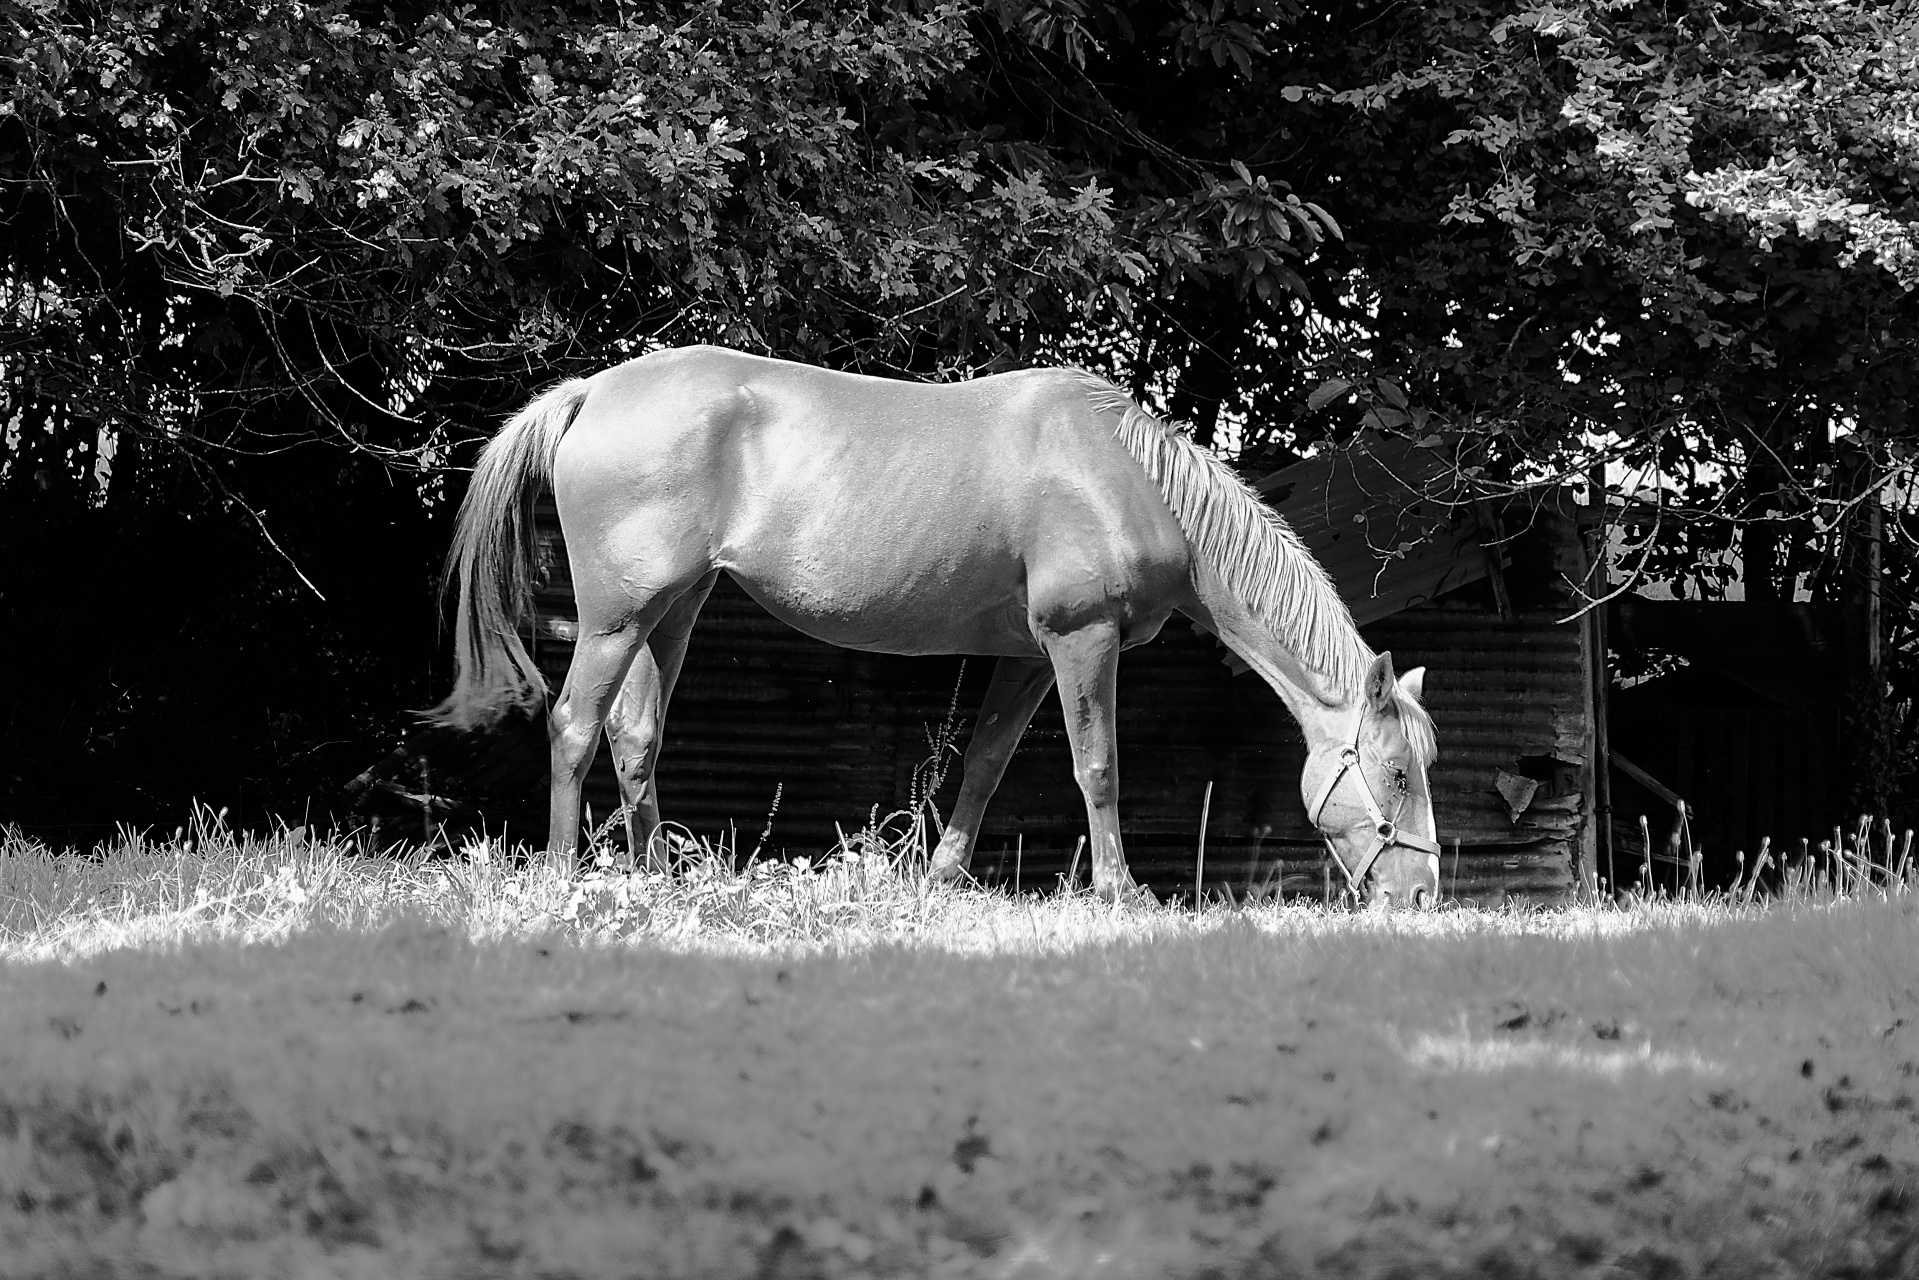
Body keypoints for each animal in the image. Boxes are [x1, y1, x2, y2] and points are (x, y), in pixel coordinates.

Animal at [431, 345, 1443, 905]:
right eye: (1396, 772)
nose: (1423, 893)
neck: (1128, 475)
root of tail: (594, 392)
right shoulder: (1082, 641)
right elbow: (1098, 768)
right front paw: (1119, 893)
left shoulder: (1032, 657)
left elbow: (986, 766)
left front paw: (942, 879)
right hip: (617, 619)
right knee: (573, 726)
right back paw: (564, 877)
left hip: (670, 612)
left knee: (635, 733)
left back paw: (651, 879)